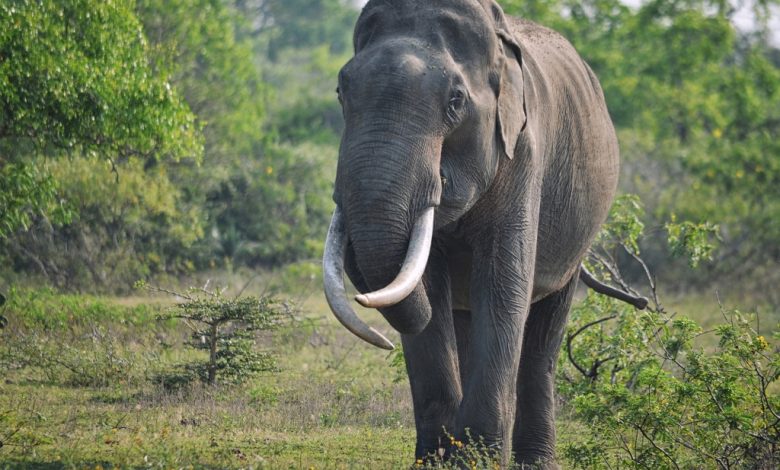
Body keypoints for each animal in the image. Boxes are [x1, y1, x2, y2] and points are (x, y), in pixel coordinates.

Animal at [322, 1, 644, 468]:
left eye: (455, 101)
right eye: (341, 93)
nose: (382, 340)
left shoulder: (523, 153)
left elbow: (501, 282)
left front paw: (477, 459)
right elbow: (428, 289)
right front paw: (438, 460)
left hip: (577, 238)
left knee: (544, 336)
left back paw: (534, 461)